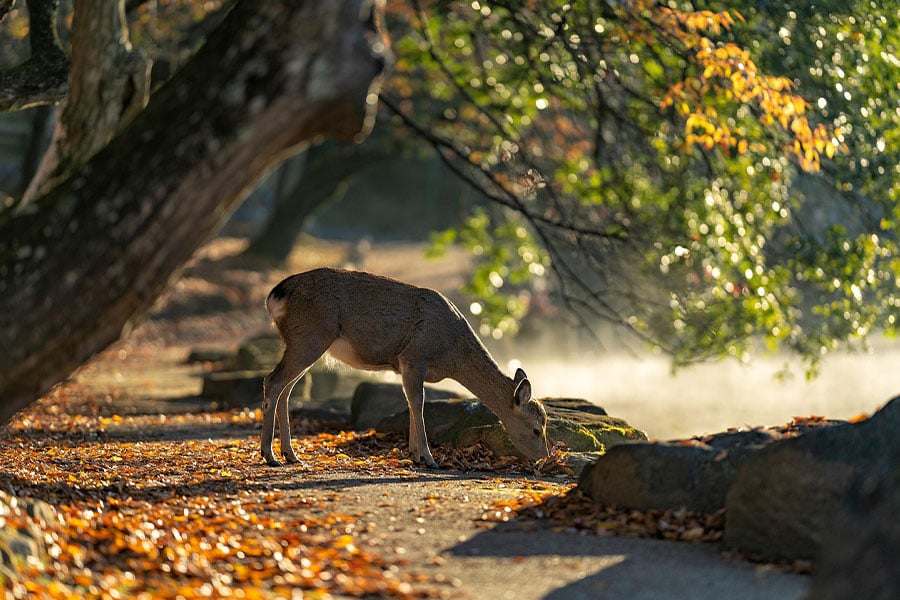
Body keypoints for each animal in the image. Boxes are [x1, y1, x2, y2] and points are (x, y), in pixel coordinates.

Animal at [260, 267, 550, 468]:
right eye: (537, 429)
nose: (544, 457)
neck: (450, 354)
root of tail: (275, 295)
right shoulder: (413, 356)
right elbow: (418, 403)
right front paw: (429, 459)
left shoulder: (403, 365)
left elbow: (410, 403)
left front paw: (415, 455)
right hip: (310, 336)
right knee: (272, 381)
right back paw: (270, 455)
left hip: (302, 341)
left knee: (285, 389)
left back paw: (291, 455)